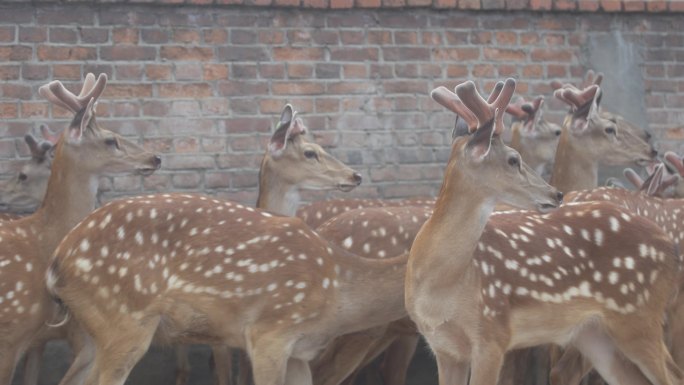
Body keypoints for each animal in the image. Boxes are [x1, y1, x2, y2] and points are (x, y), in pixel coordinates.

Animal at [406, 78, 680, 384]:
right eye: (513, 159)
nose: (556, 193)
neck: (442, 286)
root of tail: (669, 245)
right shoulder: (444, 347)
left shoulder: (492, 335)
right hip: (595, 333)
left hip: (639, 316)